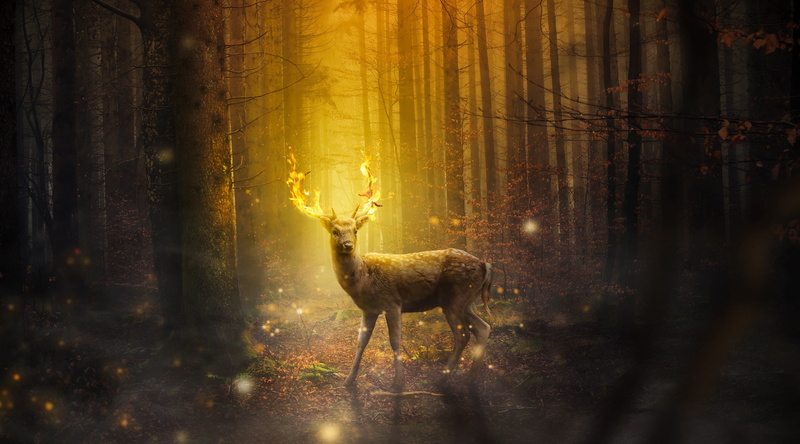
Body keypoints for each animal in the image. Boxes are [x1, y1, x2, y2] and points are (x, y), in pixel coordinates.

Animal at [287, 155, 492, 392]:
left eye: (355, 231)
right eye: (335, 231)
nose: (348, 245)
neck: (363, 279)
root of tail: (484, 264)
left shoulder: (393, 302)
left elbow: (395, 340)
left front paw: (398, 384)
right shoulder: (369, 309)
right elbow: (360, 342)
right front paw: (348, 381)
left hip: (455, 297)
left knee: (463, 334)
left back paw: (442, 380)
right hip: (467, 301)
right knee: (483, 327)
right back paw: (470, 380)